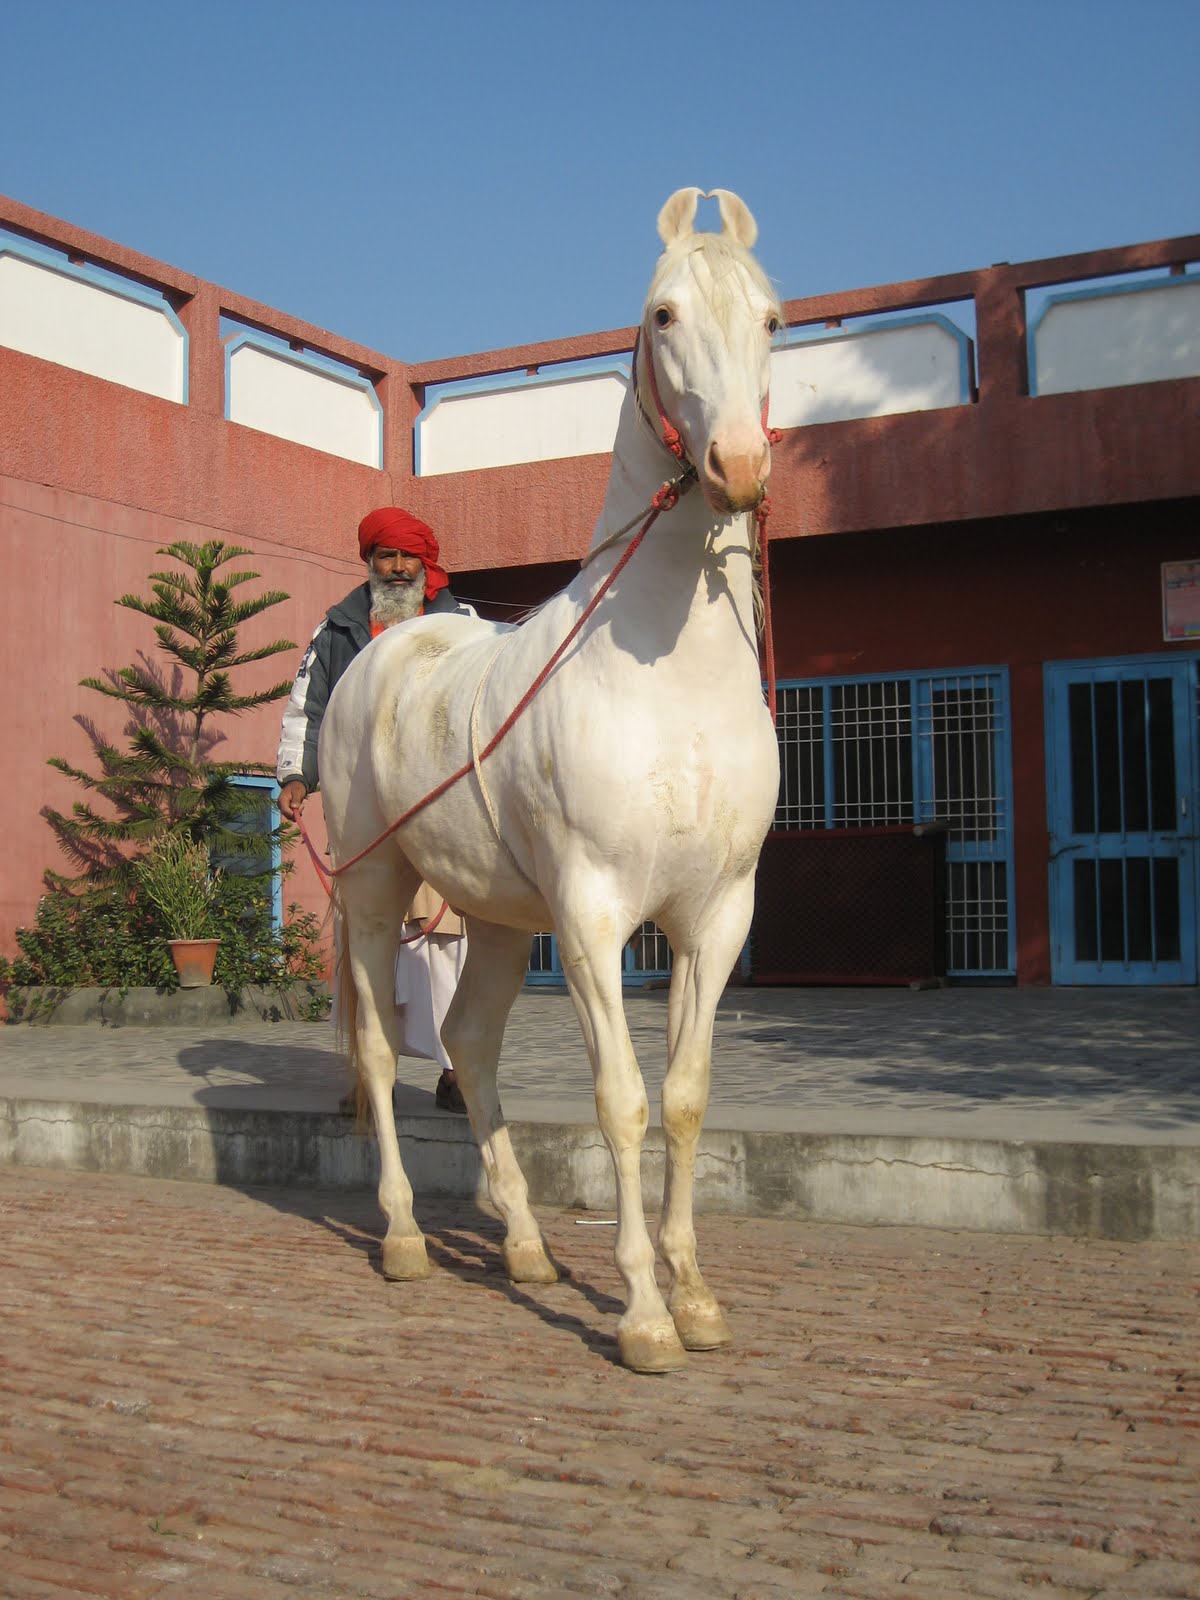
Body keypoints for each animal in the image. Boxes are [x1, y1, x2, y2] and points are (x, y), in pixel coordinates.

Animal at [319, 186, 782, 1373]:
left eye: (772, 318)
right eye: (662, 314)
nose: (739, 466)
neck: (669, 680)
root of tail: (390, 647)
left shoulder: (716, 914)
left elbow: (685, 1100)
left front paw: (697, 1296)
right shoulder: (592, 915)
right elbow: (621, 1102)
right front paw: (645, 1315)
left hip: (487, 918)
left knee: (470, 1047)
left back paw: (525, 1249)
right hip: (376, 891)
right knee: (382, 1053)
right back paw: (402, 1238)